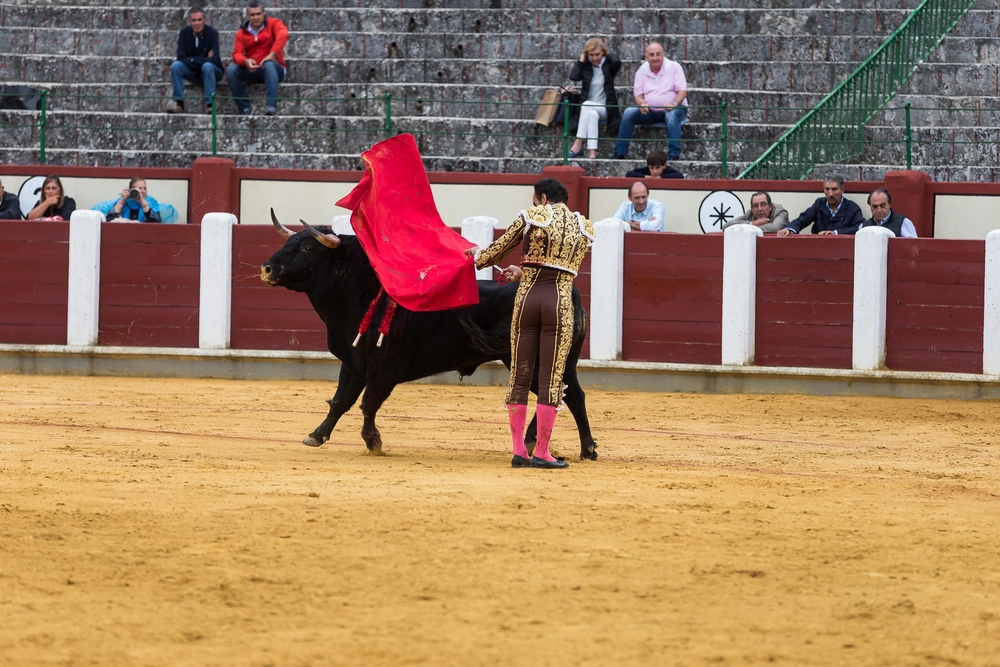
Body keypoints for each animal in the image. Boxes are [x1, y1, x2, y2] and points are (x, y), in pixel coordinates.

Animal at [262, 211, 596, 462]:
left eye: (307, 248)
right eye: (290, 242)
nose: (267, 268)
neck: (365, 293)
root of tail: (571, 292)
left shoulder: (384, 367)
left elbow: (369, 402)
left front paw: (373, 441)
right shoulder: (354, 362)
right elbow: (340, 401)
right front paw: (316, 435)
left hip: (540, 357)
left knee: (563, 394)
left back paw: (574, 447)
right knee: (563, 394)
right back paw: (558, 445)